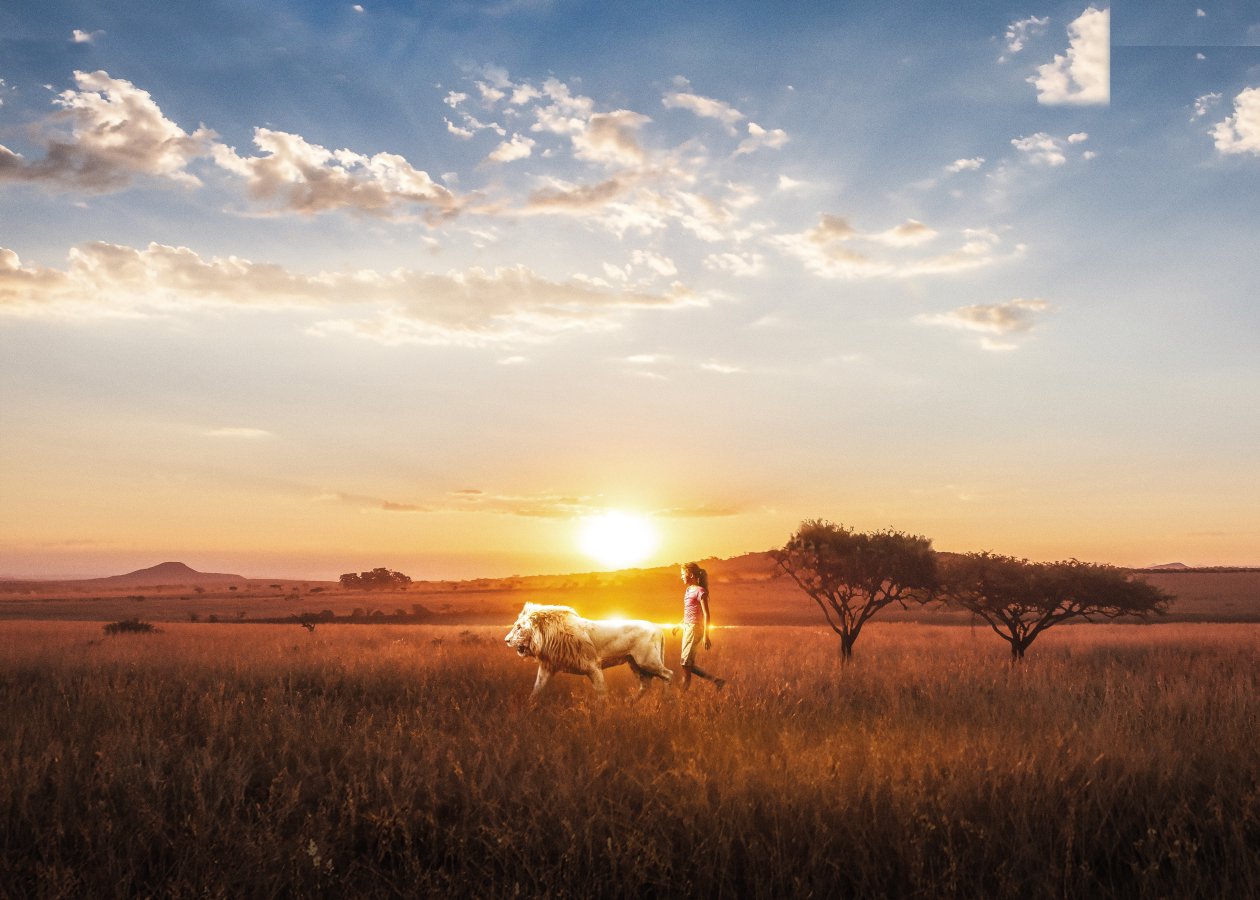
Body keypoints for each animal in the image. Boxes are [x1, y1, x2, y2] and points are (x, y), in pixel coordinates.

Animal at [504, 602, 673, 700]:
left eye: (519, 627)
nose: (506, 640)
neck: (547, 636)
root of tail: (658, 627)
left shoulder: (593, 666)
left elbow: (601, 693)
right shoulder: (547, 667)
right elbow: (536, 690)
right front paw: (528, 711)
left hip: (647, 661)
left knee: (668, 674)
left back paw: (666, 701)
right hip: (635, 663)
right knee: (646, 685)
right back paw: (631, 704)